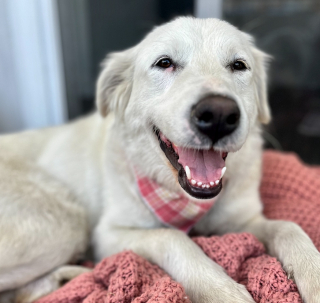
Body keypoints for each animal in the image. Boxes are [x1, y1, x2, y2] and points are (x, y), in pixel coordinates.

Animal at [0, 17, 320, 302]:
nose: (218, 115)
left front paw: (313, 273)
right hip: (66, 222)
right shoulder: (108, 235)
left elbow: (288, 227)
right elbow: (173, 238)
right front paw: (221, 290)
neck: (183, 198)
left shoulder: (243, 219)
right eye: (164, 63)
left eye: (238, 65)